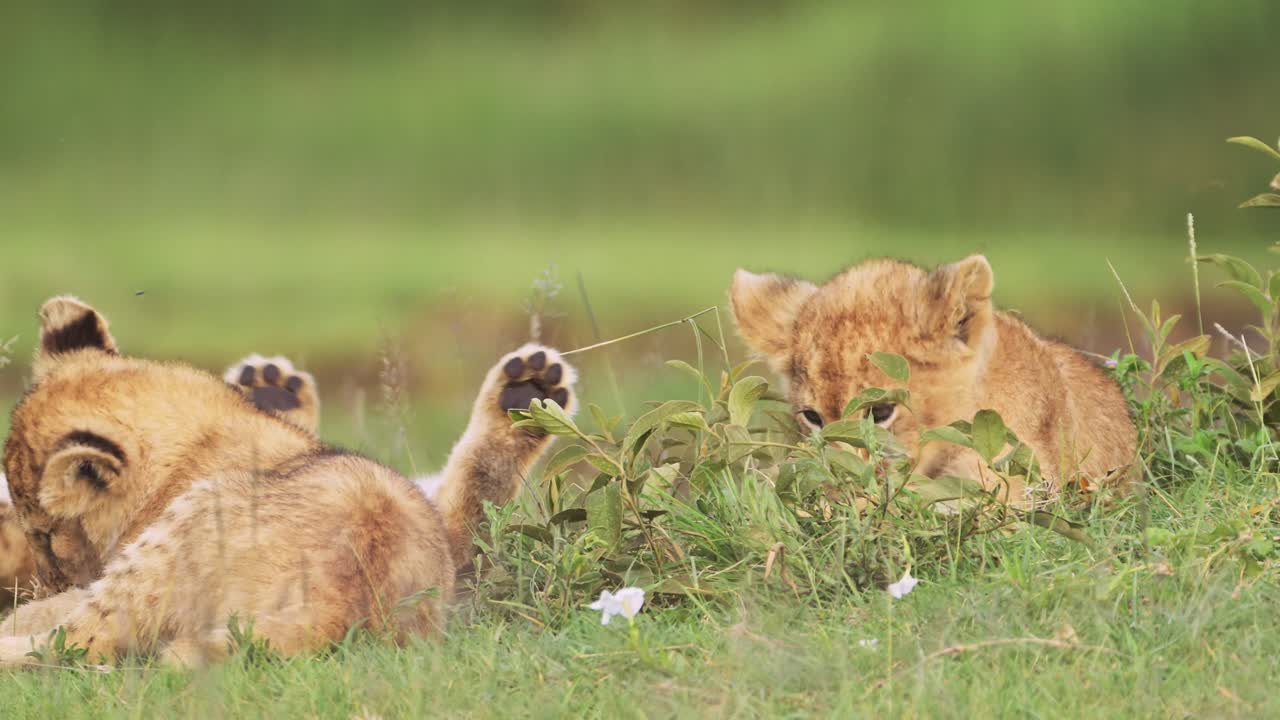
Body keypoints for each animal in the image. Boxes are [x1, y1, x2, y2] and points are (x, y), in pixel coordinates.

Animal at [0, 296, 575, 667]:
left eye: (46, 534)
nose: (50, 576)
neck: (205, 436)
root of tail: (335, 604)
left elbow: (55, 613)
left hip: (177, 538)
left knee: (76, 642)